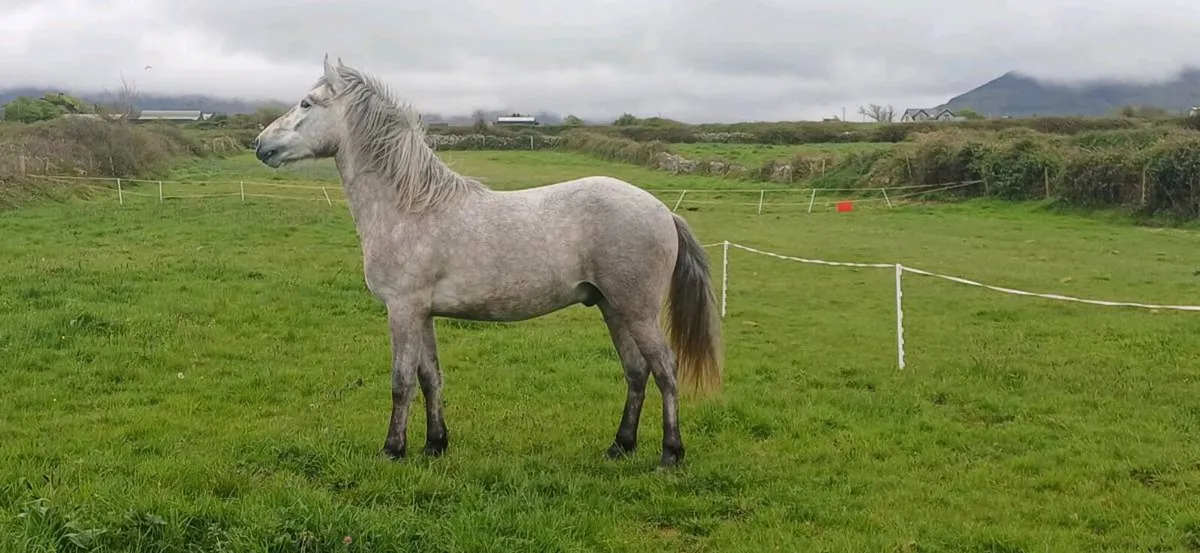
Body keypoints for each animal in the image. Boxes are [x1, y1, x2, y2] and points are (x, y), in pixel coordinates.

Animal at [251, 55, 723, 467]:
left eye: (307, 103)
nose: (259, 145)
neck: (410, 206)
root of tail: (663, 211)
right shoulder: (422, 313)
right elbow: (431, 377)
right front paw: (435, 445)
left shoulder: (402, 309)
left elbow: (402, 381)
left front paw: (393, 450)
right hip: (612, 306)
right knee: (636, 371)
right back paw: (619, 447)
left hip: (637, 310)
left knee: (665, 370)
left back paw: (670, 454)